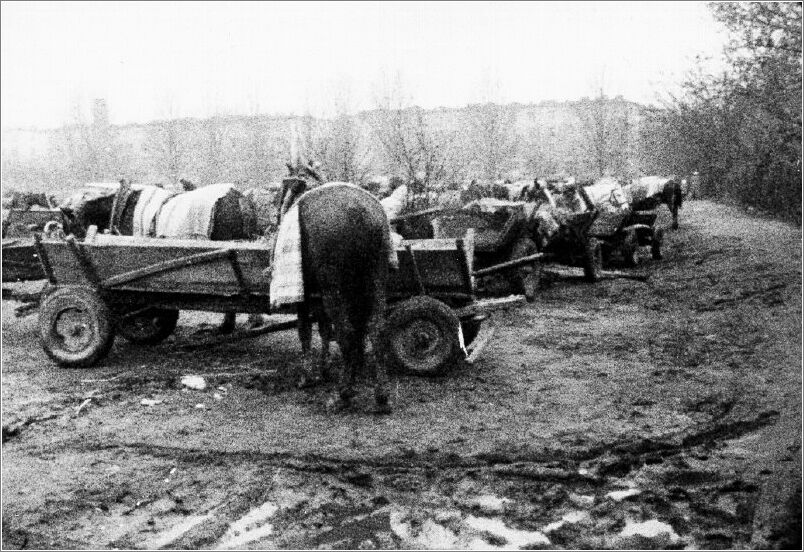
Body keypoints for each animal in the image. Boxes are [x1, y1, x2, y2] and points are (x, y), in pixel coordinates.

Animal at [274, 162, 392, 412]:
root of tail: (360, 212)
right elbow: (326, 329)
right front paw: (328, 369)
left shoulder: (306, 292)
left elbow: (305, 330)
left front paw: (307, 376)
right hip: (374, 281)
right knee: (376, 328)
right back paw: (380, 396)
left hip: (335, 289)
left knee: (346, 332)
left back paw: (343, 394)